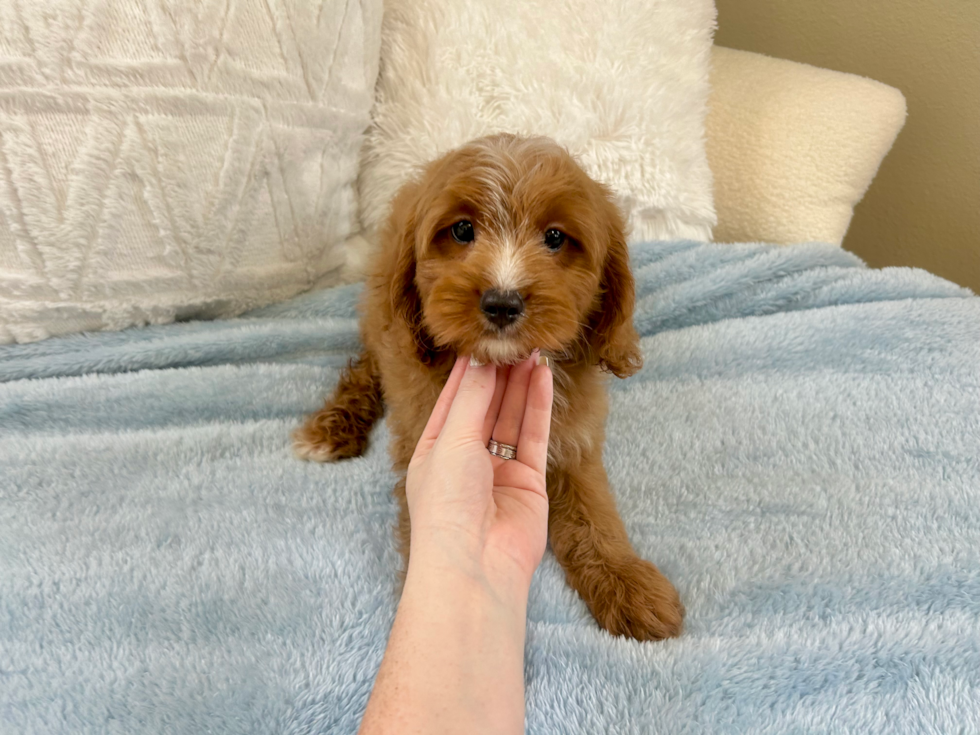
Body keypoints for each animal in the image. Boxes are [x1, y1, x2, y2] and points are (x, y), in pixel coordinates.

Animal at [294, 135, 684, 640]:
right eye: (462, 231)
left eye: (555, 238)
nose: (502, 302)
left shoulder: (572, 438)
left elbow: (593, 511)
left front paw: (628, 584)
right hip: (382, 323)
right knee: (367, 366)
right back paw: (330, 428)